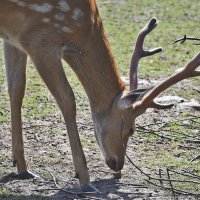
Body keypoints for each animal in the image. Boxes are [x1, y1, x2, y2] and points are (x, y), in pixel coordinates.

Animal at [0, 0, 200, 193]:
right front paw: (84, 179)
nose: (118, 165)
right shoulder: (38, 41)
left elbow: (16, 89)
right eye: (131, 129)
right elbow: (67, 99)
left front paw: (22, 168)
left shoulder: (14, 38)